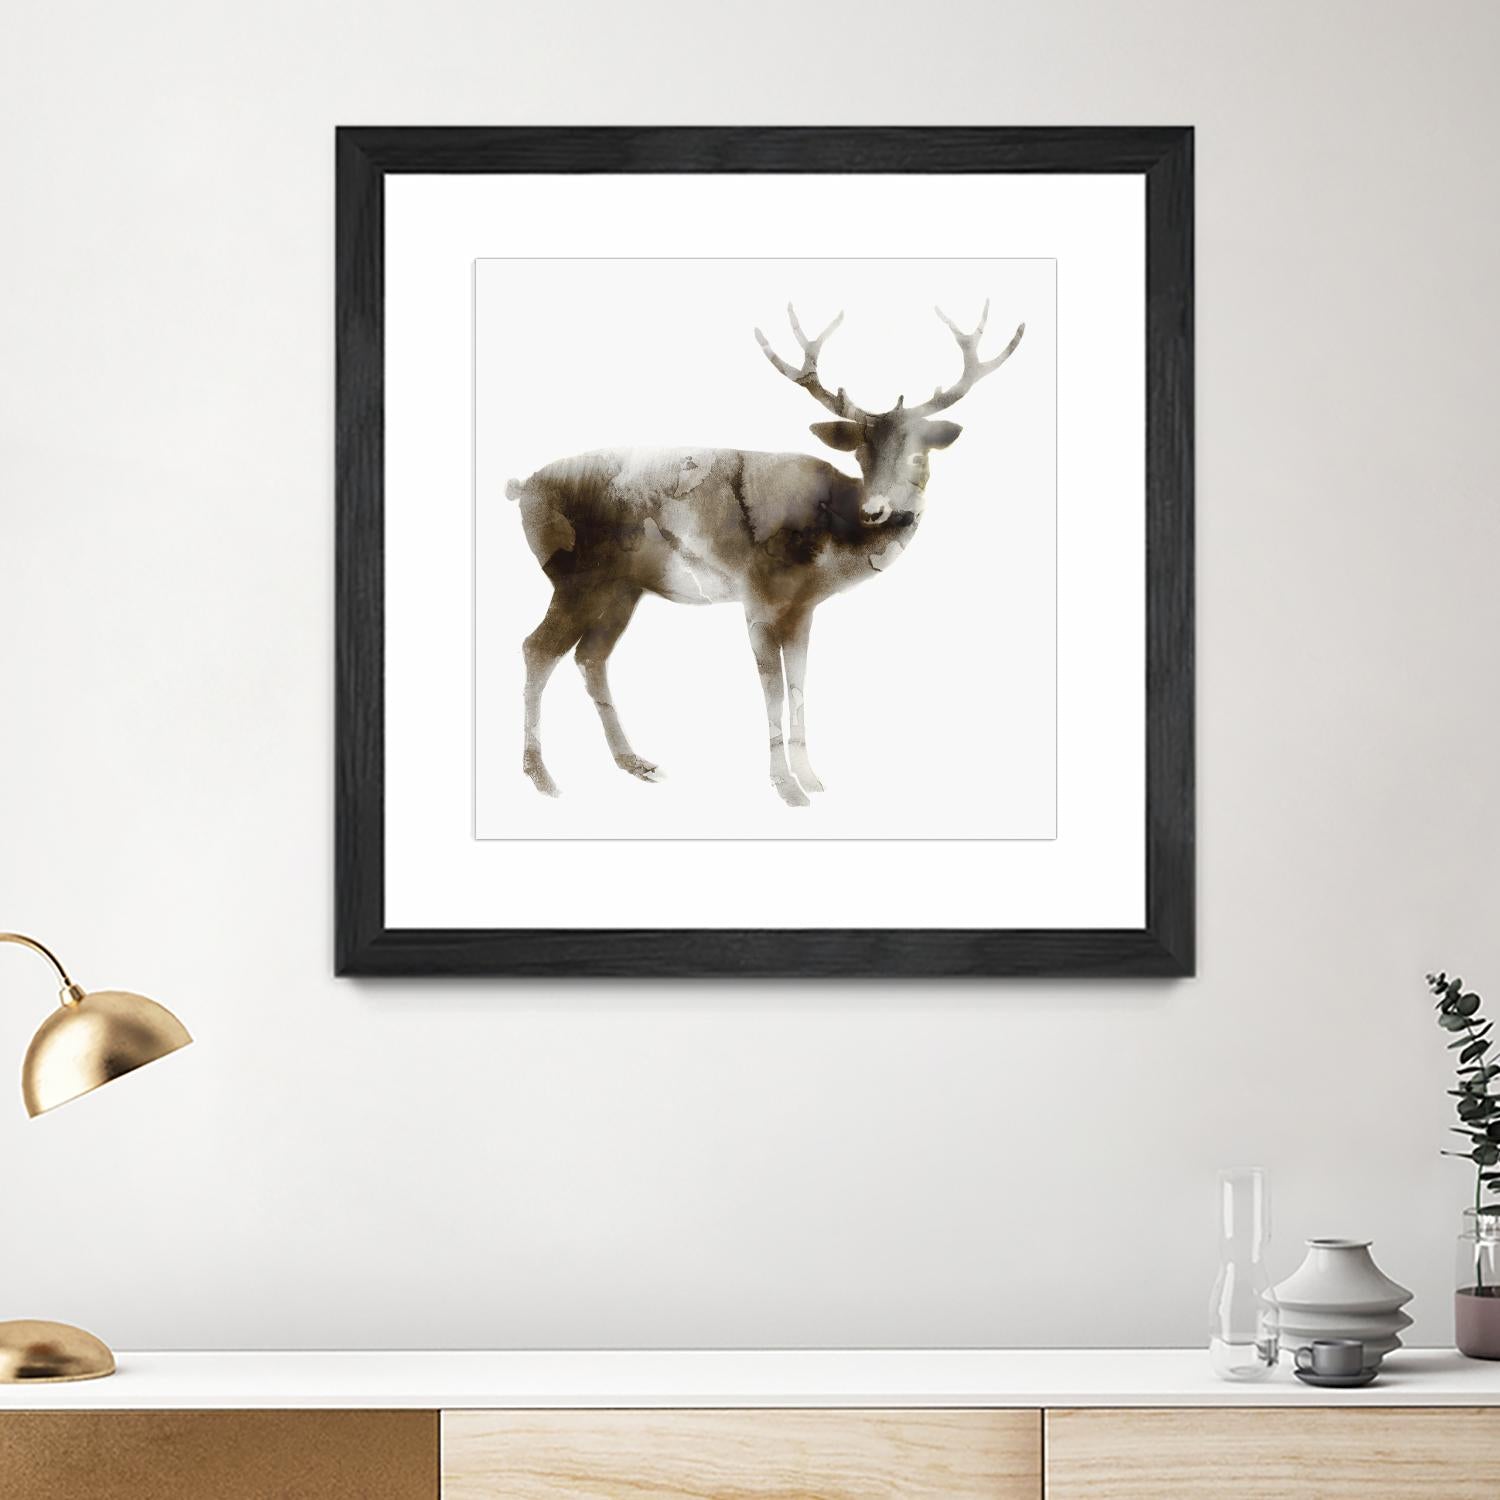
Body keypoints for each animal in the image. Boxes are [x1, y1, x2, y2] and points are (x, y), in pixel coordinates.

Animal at [506, 302, 1024, 806]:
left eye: (919, 454)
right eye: (860, 453)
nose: (877, 510)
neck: (829, 546)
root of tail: (522, 488)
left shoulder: (803, 609)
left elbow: (798, 685)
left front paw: (811, 778)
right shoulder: (757, 598)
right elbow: (772, 690)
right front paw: (786, 787)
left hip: (622, 589)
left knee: (591, 657)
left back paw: (634, 762)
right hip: (575, 578)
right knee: (537, 648)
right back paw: (542, 777)